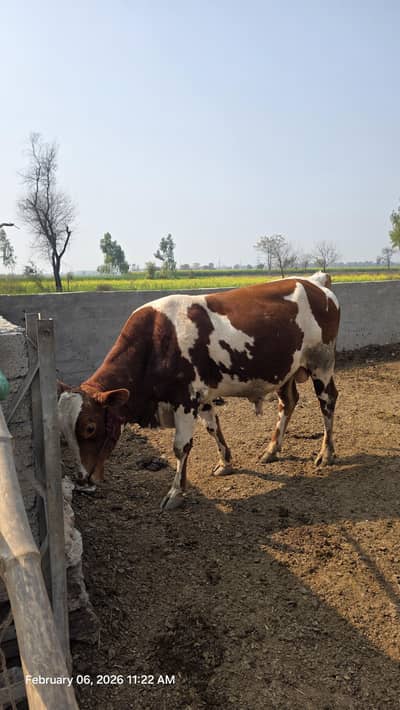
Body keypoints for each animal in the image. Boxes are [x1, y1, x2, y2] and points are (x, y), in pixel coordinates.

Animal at [58, 272, 340, 511]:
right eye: (63, 434)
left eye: (90, 428)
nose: (82, 479)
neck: (157, 341)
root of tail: (314, 281)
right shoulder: (201, 396)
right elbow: (213, 427)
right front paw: (225, 462)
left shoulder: (184, 400)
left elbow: (180, 447)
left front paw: (175, 493)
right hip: (287, 371)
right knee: (288, 402)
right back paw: (271, 450)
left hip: (322, 364)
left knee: (327, 402)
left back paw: (326, 453)